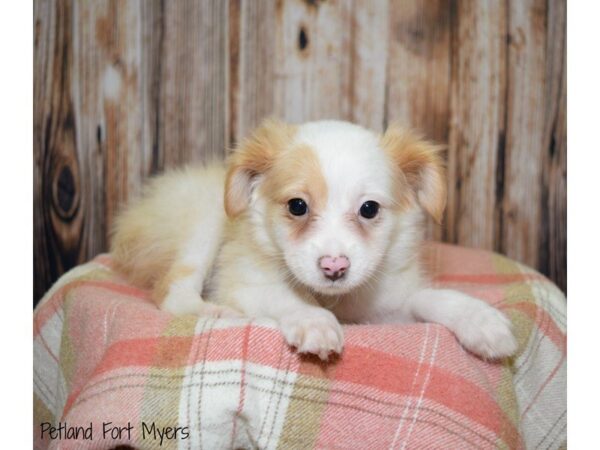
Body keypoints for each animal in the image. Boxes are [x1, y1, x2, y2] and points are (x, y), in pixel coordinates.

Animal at [111, 118, 516, 358]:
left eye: (369, 209)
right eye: (297, 206)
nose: (334, 267)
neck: (336, 299)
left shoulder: (388, 309)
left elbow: (430, 297)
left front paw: (480, 319)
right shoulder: (246, 285)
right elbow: (286, 296)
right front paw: (315, 321)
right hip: (204, 220)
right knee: (171, 292)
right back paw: (218, 312)